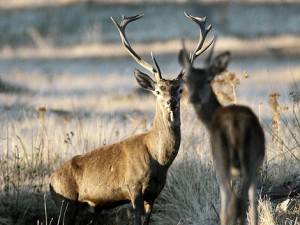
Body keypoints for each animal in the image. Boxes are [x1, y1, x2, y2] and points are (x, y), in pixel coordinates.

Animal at [50, 14, 184, 225]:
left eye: (180, 90)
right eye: (157, 90)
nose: (172, 103)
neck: (159, 161)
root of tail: (50, 181)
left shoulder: (154, 194)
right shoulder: (134, 187)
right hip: (66, 201)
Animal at [178, 13, 264, 225]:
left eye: (208, 80)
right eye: (187, 80)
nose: (193, 98)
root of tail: (235, 125)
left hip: (220, 159)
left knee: (230, 202)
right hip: (249, 160)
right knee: (242, 202)